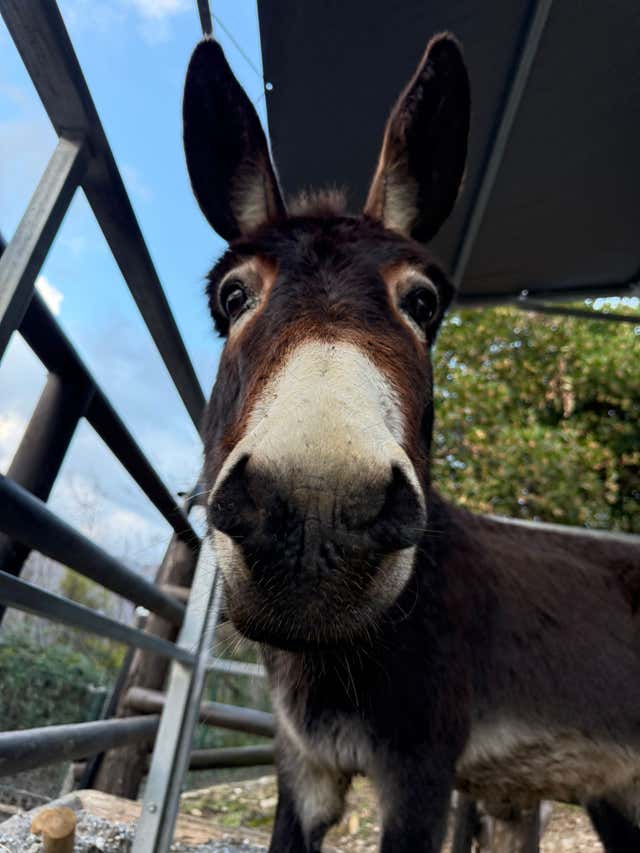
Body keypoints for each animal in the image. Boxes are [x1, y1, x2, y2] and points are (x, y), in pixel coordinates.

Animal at [182, 32, 640, 853]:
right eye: (231, 296)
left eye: (424, 303)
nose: (319, 510)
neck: (335, 660)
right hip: (616, 791)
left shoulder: (423, 765)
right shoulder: (302, 765)